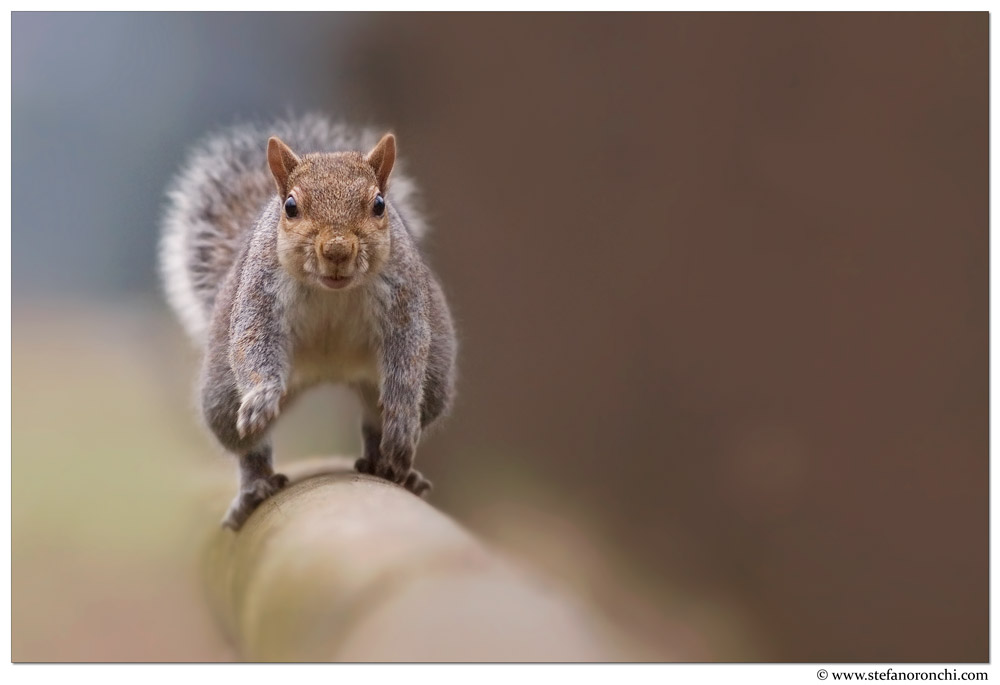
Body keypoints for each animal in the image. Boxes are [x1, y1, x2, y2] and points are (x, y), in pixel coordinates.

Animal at [159, 114, 457, 530]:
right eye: (290, 206)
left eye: (379, 204)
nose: (337, 250)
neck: (331, 290)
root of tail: (328, 371)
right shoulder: (261, 290)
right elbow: (252, 338)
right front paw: (262, 396)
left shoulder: (404, 292)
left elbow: (409, 347)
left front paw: (400, 414)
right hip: (222, 399)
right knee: (249, 446)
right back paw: (255, 486)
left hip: (431, 384)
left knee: (376, 419)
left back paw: (387, 464)